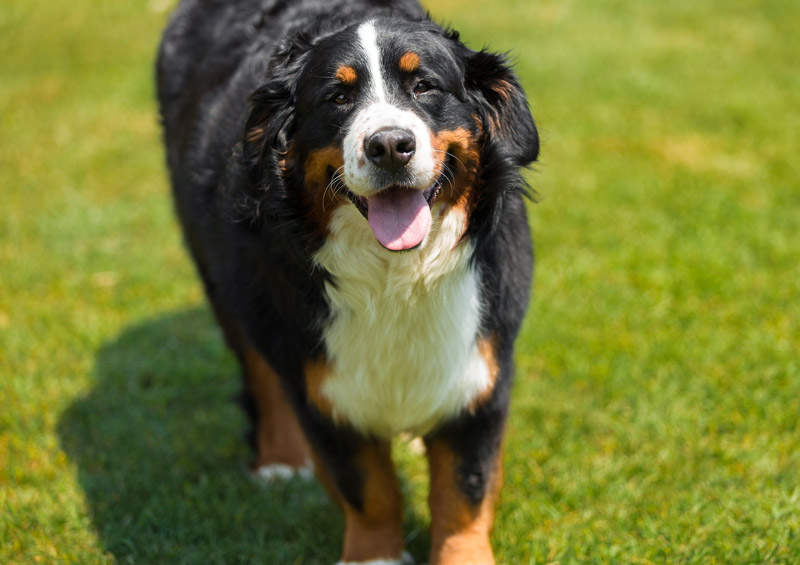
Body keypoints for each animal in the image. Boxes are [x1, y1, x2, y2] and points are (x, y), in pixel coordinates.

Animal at [156, 2, 536, 560]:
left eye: (425, 86)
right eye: (338, 97)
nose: (390, 145)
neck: (397, 276)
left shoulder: (480, 370)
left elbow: (465, 488)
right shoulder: (322, 385)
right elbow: (366, 485)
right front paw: (375, 555)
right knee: (259, 371)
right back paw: (279, 460)